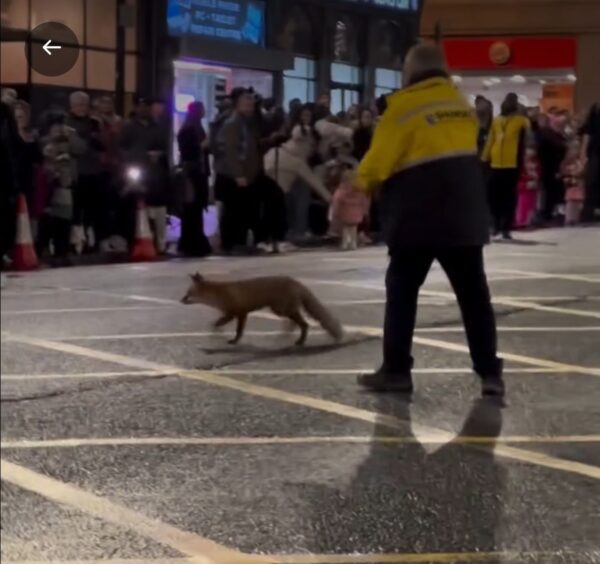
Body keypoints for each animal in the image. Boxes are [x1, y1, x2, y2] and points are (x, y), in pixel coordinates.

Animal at [180, 272, 344, 346]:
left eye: (188, 294)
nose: (180, 300)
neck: (219, 294)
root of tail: (296, 282)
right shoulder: (240, 313)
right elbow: (233, 328)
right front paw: (229, 338)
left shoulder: (236, 313)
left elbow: (222, 326)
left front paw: (226, 338)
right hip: (280, 310)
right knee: (298, 323)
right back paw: (290, 336)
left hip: (281, 309)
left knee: (303, 324)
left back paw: (297, 339)